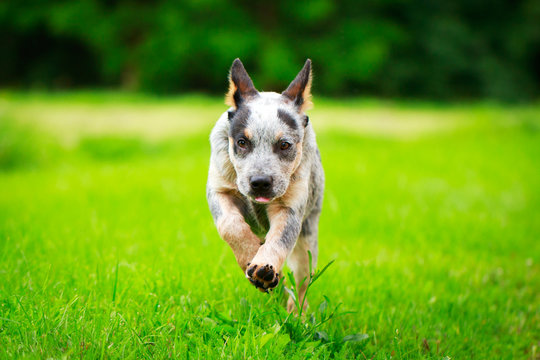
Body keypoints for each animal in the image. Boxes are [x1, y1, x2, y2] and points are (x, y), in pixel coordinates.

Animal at [207, 57, 324, 310]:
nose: (260, 182)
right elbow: (230, 225)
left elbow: (279, 239)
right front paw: (252, 255)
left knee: (301, 284)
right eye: (242, 142)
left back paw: (296, 312)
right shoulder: (219, 190)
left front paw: (263, 267)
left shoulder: (289, 207)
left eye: (284, 145)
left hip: (308, 238)